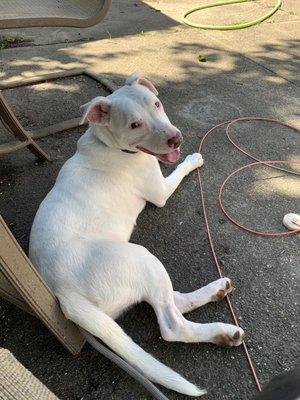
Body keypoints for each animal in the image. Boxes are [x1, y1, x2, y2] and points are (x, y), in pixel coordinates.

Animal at [29, 72, 245, 396]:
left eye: (156, 103)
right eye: (134, 125)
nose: (176, 139)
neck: (108, 145)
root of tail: (62, 293)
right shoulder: (160, 191)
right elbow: (178, 171)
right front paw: (192, 160)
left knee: (173, 300)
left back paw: (216, 291)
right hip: (140, 259)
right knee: (171, 324)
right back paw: (223, 332)